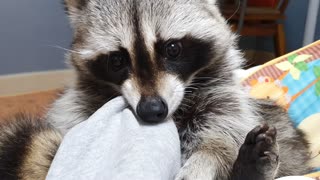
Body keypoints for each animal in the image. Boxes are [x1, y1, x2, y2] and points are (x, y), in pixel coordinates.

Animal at [0, 0, 312, 179]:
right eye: (117, 60)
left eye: (172, 48)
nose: (151, 110)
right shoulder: (76, 109)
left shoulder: (223, 99)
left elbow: (220, 139)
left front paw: (206, 161)